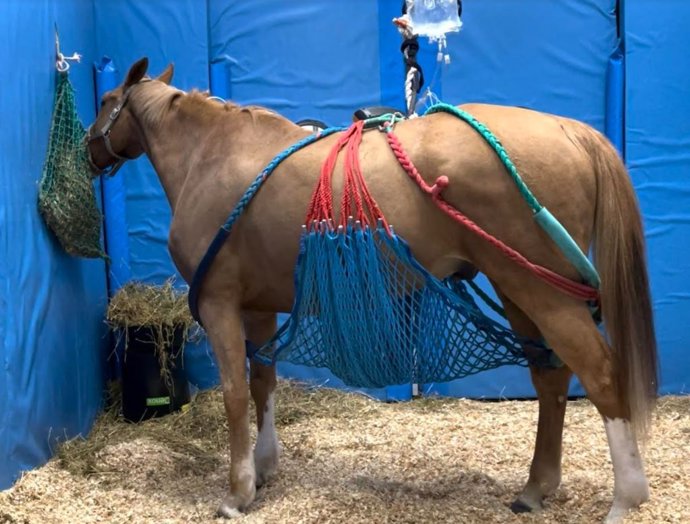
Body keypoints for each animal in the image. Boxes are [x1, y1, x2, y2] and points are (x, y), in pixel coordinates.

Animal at [85, 57, 658, 523]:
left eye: (105, 101)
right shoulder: (258, 310)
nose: (89, 148)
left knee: (601, 376)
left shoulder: (220, 304)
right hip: (519, 291)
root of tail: (569, 130)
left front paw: (237, 492)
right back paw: (537, 487)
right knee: (551, 380)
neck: (213, 157)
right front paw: (264, 469)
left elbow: (234, 394)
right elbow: (263, 384)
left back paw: (627, 498)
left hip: (543, 291)